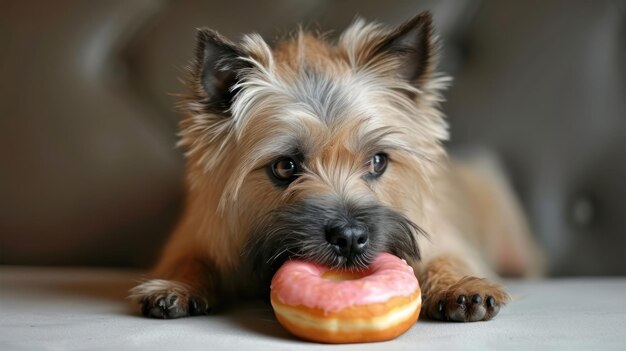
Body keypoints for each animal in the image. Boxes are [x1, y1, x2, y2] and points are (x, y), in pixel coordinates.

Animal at [129, 11, 540, 324]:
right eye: (285, 166)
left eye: (378, 161)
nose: (350, 238)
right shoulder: (193, 238)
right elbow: (189, 261)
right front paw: (176, 286)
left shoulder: (445, 238)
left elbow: (446, 258)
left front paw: (460, 286)